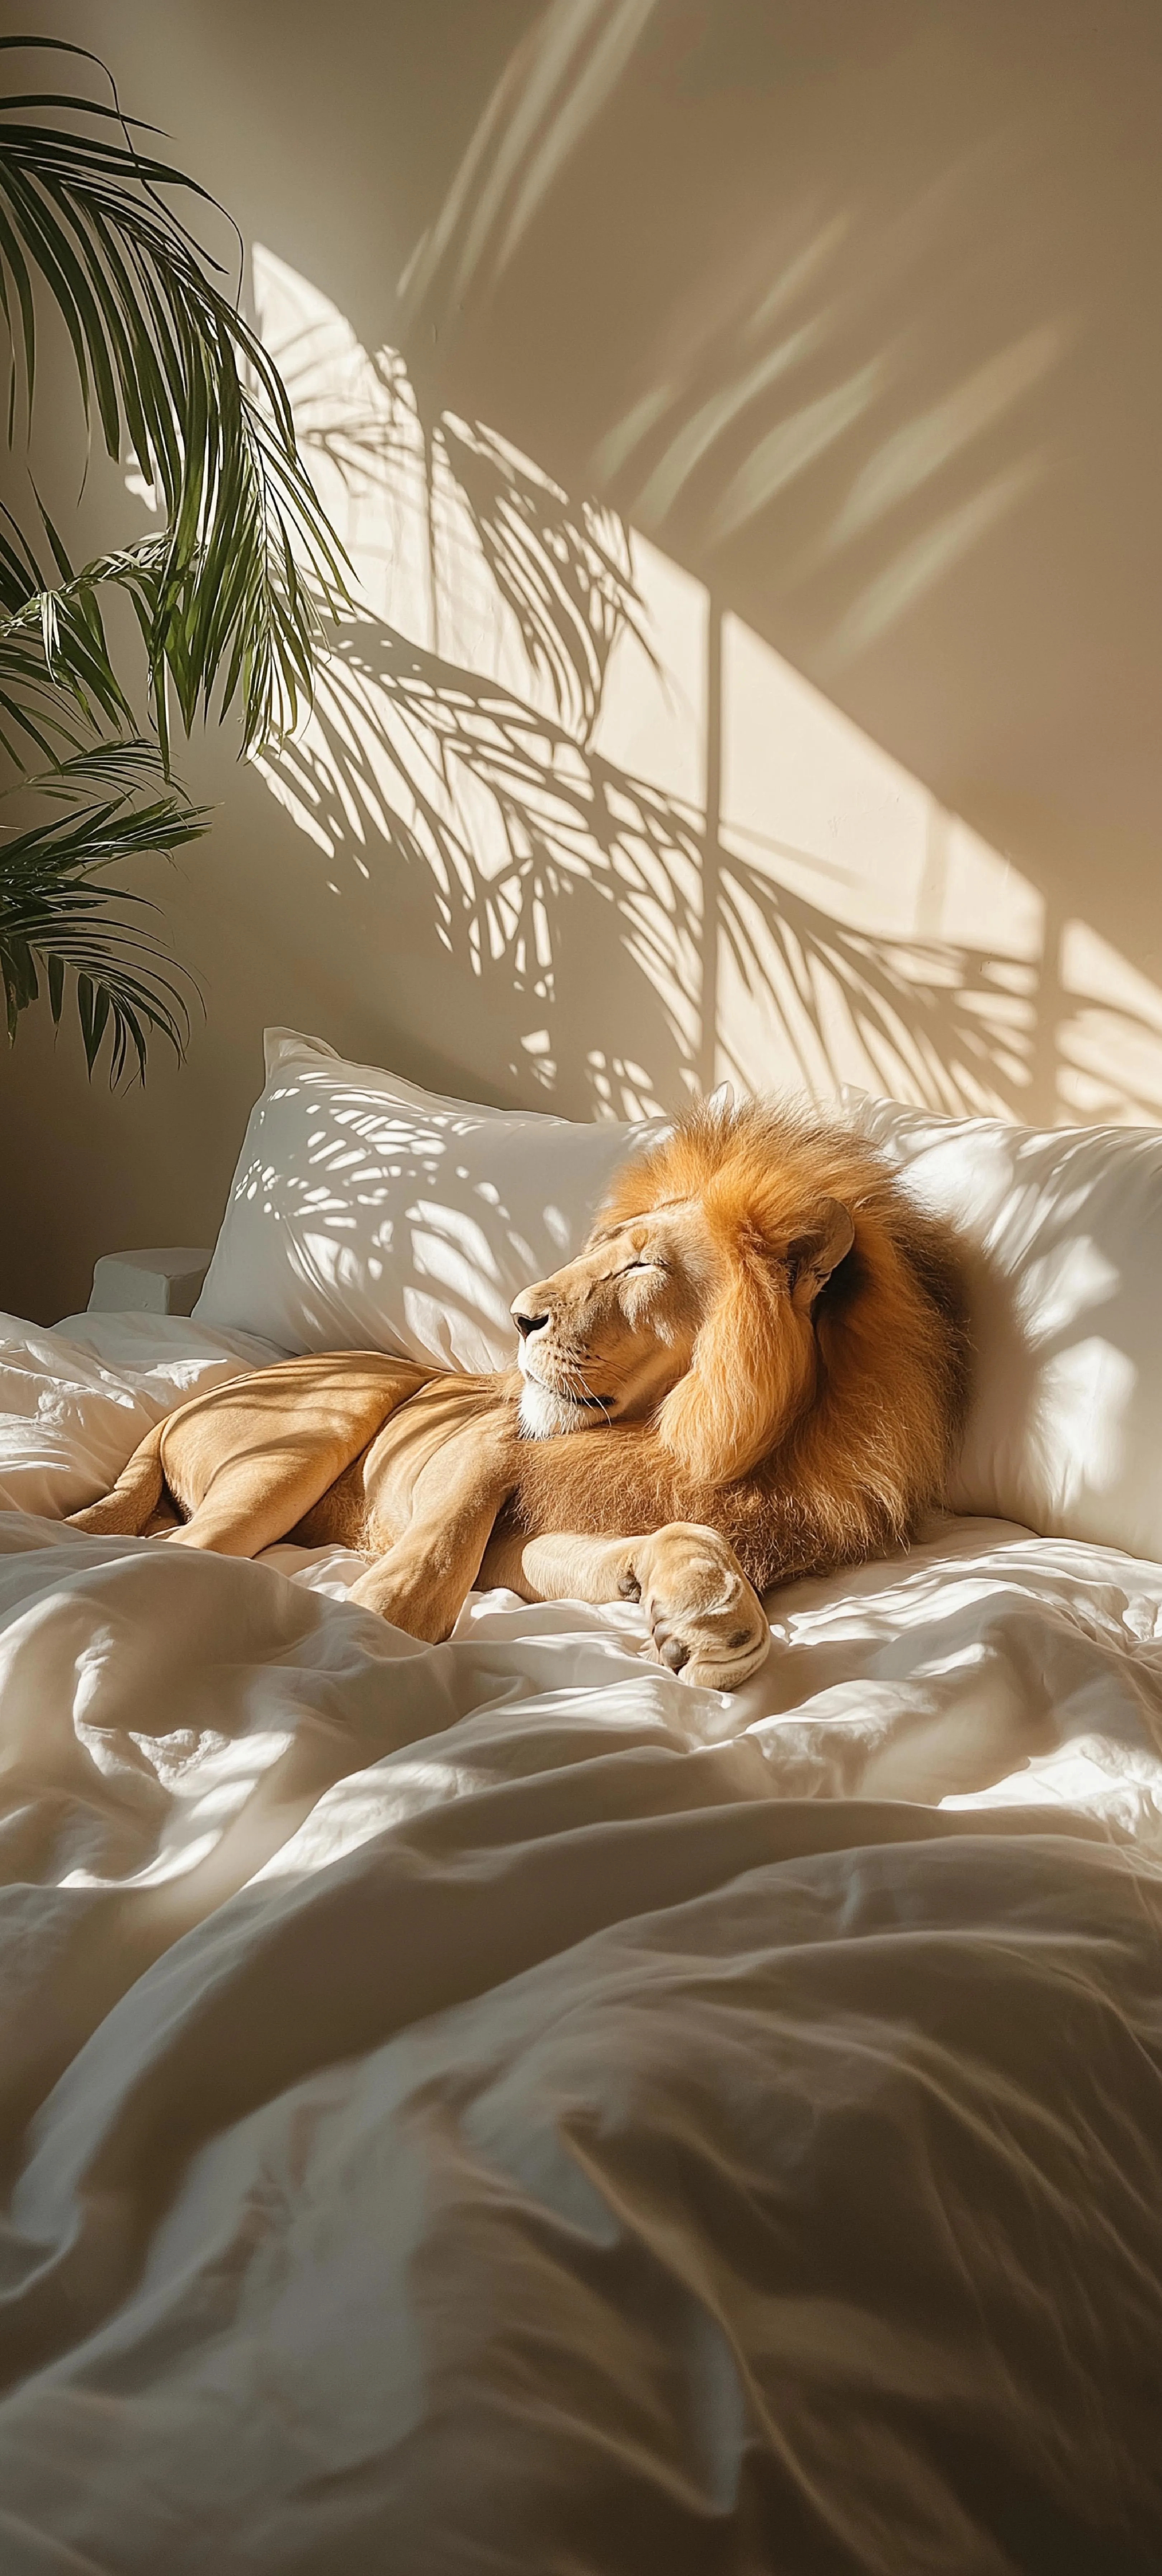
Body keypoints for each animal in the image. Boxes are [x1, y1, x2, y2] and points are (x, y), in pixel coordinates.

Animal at [67, 1099, 970, 1693]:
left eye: (640, 1267)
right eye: (602, 1251)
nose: (518, 1316)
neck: (681, 1439)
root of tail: (182, 1404)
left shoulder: (531, 1543)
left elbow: (646, 1545)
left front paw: (705, 1616)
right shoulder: (479, 1457)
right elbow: (431, 1554)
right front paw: (364, 1629)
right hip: (327, 1415)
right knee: (191, 1551)